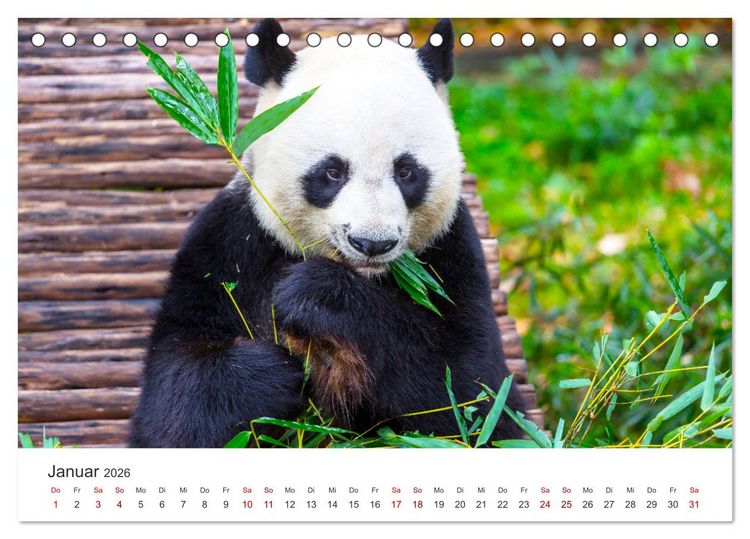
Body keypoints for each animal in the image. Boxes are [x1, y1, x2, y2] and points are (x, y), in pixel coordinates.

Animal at [128, 18, 526, 447]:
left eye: (406, 171)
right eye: (332, 172)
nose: (372, 243)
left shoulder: (450, 250)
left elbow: (473, 395)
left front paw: (319, 295)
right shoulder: (231, 244)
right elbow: (174, 400)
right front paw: (275, 371)